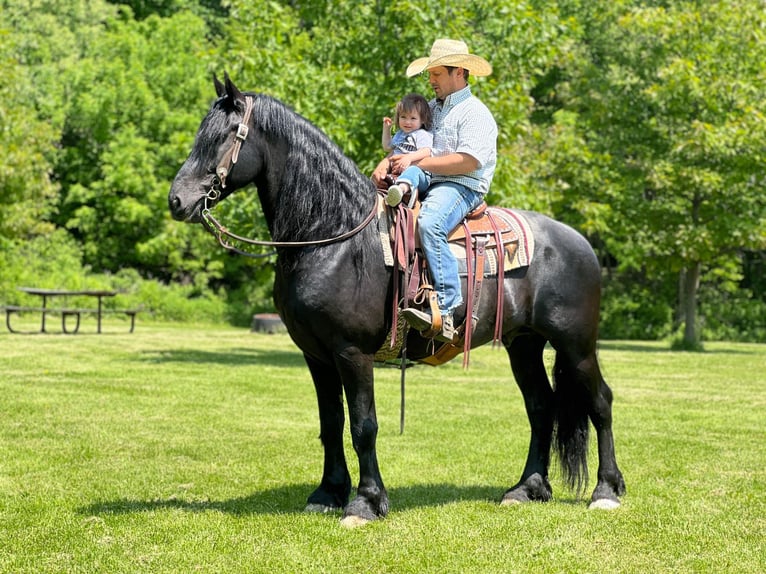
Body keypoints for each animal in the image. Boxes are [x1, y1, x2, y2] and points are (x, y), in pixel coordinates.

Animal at [168, 75, 624, 528]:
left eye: (224, 136)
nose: (177, 200)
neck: (334, 237)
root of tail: (579, 241)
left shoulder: (352, 352)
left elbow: (363, 426)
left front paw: (365, 502)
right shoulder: (316, 355)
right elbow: (331, 423)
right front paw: (327, 493)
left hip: (575, 344)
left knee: (600, 402)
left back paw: (605, 491)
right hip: (523, 343)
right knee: (541, 407)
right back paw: (526, 489)